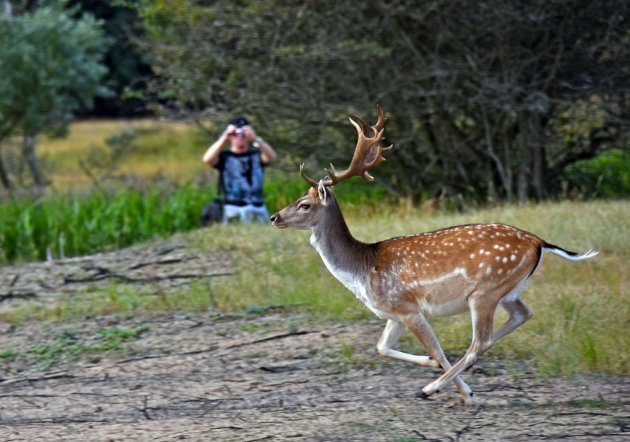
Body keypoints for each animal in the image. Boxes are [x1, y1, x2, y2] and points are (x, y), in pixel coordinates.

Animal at [270, 107, 600, 404]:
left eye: (304, 205)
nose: (275, 217)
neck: (363, 270)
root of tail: (538, 241)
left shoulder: (409, 308)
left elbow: (435, 348)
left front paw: (460, 391)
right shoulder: (394, 313)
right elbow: (381, 347)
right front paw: (443, 376)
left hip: (485, 290)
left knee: (480, 341)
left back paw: (430, 388)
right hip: (507, 290)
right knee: (522, 315)